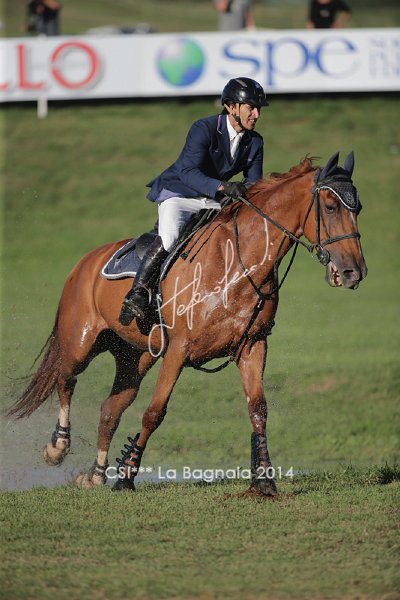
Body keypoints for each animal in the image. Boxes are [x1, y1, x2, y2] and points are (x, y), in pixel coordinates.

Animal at [7, 151, 367, 496]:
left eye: (359, 208)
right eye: (331, 207)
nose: (354, 272)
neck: (239, 263)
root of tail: (86, 261)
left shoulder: (252, 347)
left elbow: (258, 410)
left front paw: (264, 482)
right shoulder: (178, 350)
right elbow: (154, 413)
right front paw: (126, 477)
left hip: (135, 356)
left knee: (111, 408)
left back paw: (95, 475)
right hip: (81, 342)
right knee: (65, 379)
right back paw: (57, 447)